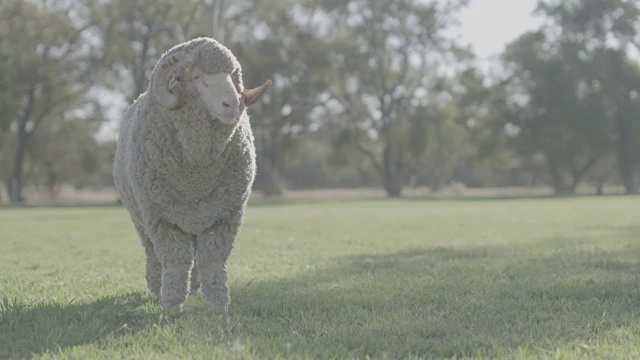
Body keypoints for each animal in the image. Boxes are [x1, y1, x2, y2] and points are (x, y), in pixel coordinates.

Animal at [114, 37, 272, 312]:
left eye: (232, 76)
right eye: (197, 76)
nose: (232, 104)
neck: (195, 179)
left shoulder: (225, 215)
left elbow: (212, 260)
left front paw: (219, 306)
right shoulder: (160, 218)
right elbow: (176, 261)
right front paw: (172, 305)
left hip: (198, 219)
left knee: (196, 256)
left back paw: (195, 289)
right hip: (140, 216)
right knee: (152, 252)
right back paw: (155, 287)